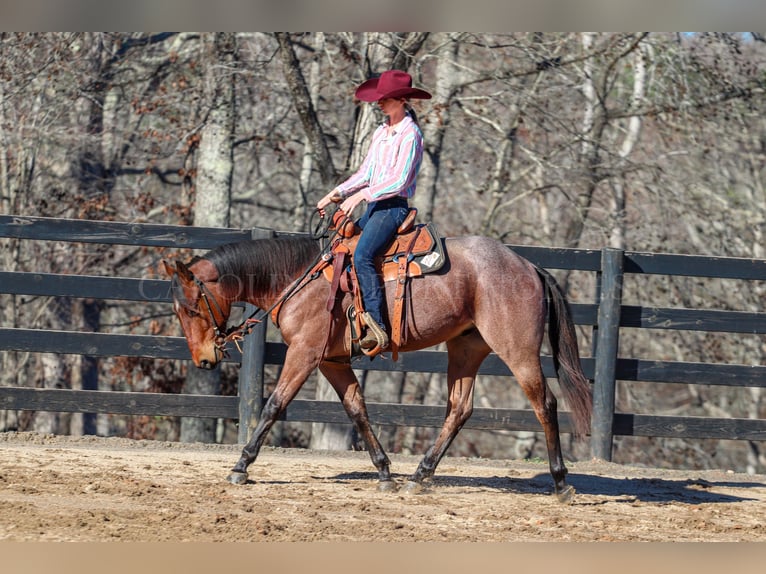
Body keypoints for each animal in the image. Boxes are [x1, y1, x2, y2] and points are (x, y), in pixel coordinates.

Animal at [164, 230, 592, 504]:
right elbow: (357, 410)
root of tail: (529, 266)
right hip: (466, 349)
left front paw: (241, 466)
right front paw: (385, 472)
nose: (203, 359)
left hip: (517, 350)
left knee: (545, 405)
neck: (297, 279)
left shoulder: (304, 353)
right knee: (459, 409)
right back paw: (419, 476)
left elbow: (274, 405)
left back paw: (561, 483)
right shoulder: (332, 361)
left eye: (190, 309)